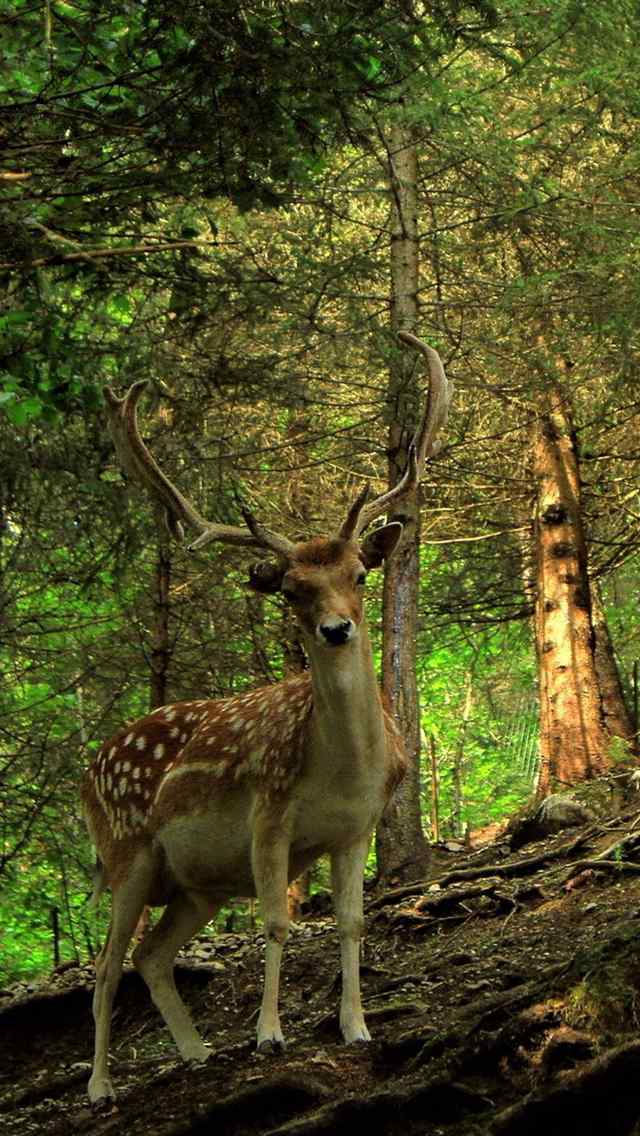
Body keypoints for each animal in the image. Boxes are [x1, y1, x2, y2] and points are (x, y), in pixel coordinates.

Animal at [81, 329, 450, 1099]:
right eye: (291, 589)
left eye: (360, 575)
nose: (337, 630)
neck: (344, 772)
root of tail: (87, 770)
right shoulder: (268, 813)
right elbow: (279, 923)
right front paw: (269, 1035)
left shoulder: (357, 828)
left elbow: (351, 922)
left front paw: (357, 1027)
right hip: (126, 852)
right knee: (105, 965)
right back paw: (101, 1086)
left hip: (196, 884)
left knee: (151, 955)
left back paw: (196, 1052)